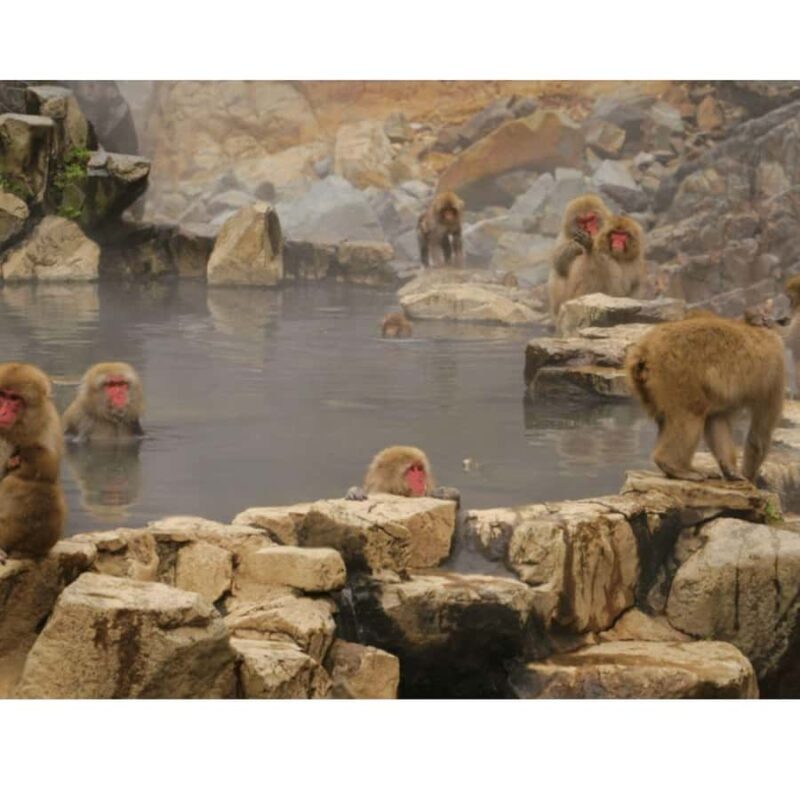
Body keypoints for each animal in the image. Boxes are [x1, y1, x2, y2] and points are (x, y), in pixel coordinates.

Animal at [625, 315, 785, 483]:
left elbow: (717, 420)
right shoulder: (775, 371)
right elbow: (759, 434)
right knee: (691, 413)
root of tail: (643, 351)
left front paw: (731, 470)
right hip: (677, 372)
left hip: (648, 387)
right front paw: (748, 476)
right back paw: (676, 467)